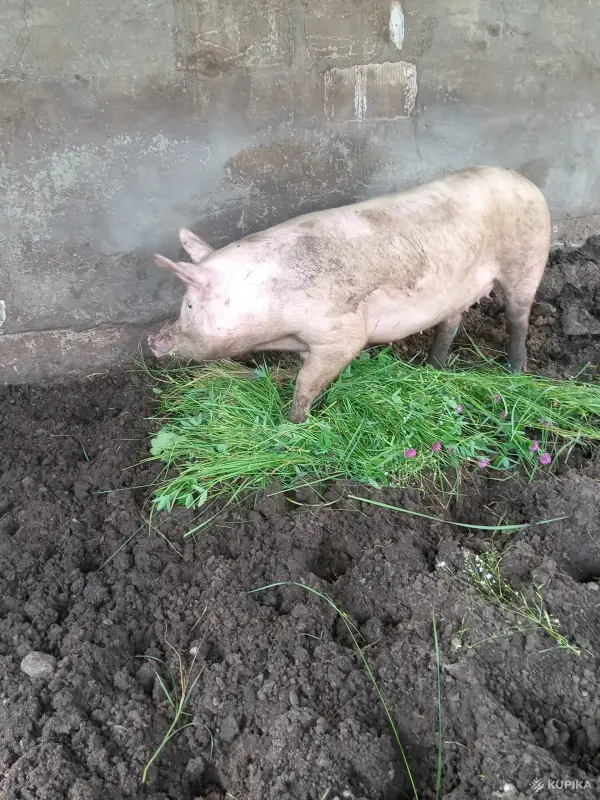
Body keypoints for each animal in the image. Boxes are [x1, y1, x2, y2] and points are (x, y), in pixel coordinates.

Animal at [148, 166, 551, 423]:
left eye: (188, 304)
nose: (153, 341)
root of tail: (526, 182)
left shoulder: (342, 334)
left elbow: (306, 384)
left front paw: (291, 425)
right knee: (451, 320)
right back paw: (432, 367)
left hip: (528, 259)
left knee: (519, 317)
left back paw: (515, 370)